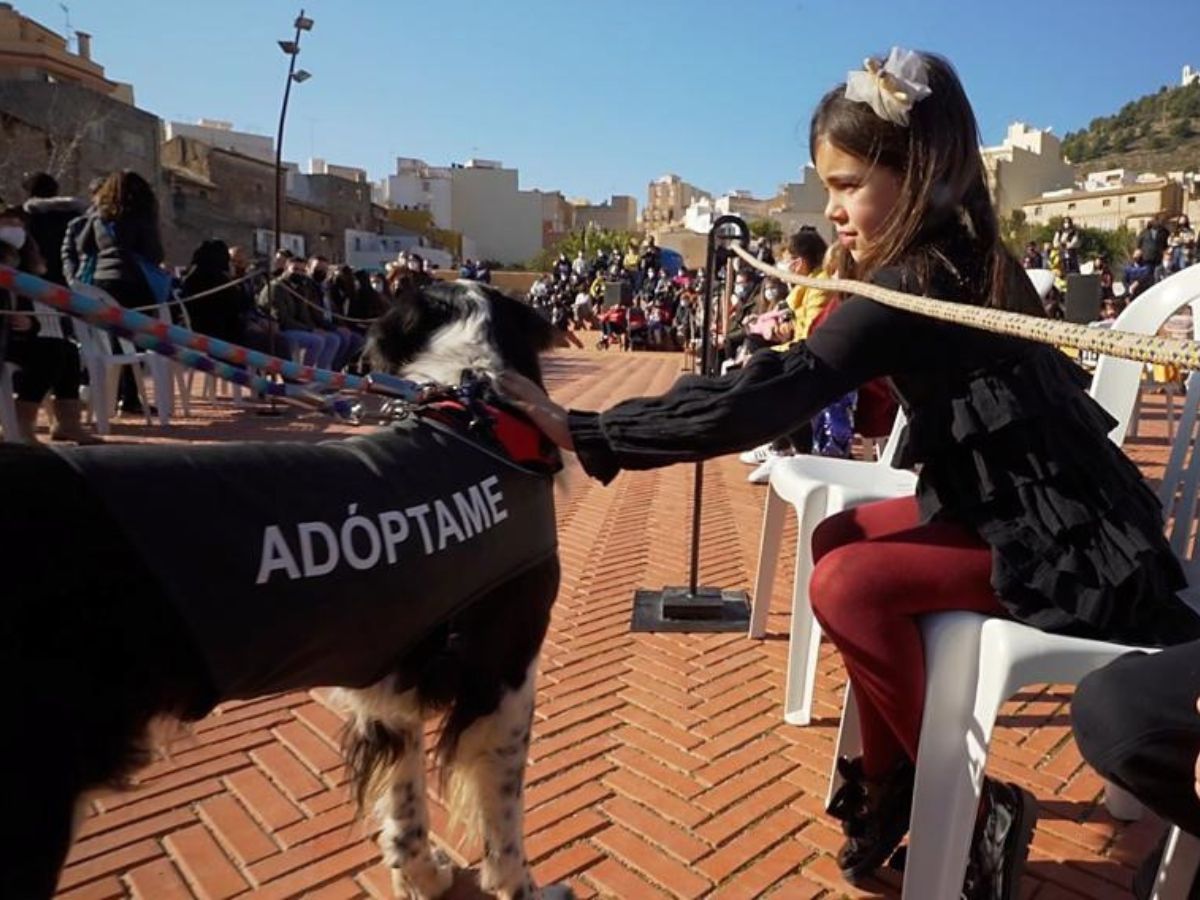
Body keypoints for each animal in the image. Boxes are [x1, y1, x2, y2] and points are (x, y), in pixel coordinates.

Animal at [1, 278, 571, 897]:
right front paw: (524, 887)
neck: (473, 416)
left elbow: (406, 804)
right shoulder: (506, 677)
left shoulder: (392, 683)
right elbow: (505, 819)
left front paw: (422, 874)